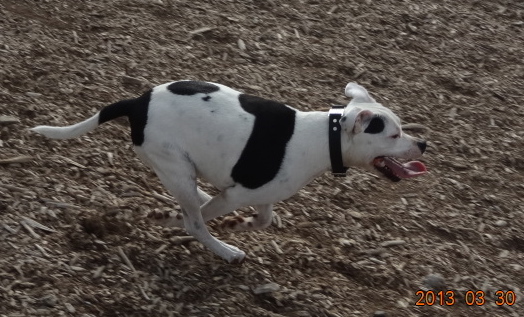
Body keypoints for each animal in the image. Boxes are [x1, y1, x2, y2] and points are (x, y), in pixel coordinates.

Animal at [30, 81, 426, 262]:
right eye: (392, 135)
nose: (423, 144)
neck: (324, 136)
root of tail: (137, 103)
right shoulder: (238, 194)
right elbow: (197, 218)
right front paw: (171, 219)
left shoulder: (262, 195)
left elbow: (263, 220)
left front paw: (240, 224)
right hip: (177, 167)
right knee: (195, 219)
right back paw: (224, 250)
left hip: (181, 169)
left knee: (198, 199)